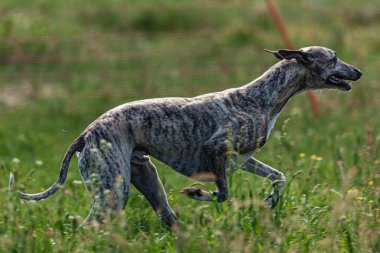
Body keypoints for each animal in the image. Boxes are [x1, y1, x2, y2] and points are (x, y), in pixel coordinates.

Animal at [9, 46, 362, 226]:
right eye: (333, 58)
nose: (359, 71)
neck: (262, 97)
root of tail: (85, 134)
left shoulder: (243, 159)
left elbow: (279, 177)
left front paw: (270, 201)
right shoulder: (215, 148)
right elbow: (222, 194)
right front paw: (197, 193)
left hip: (145, 178)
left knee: (167, 218)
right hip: (115, 190)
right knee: (90, 226)